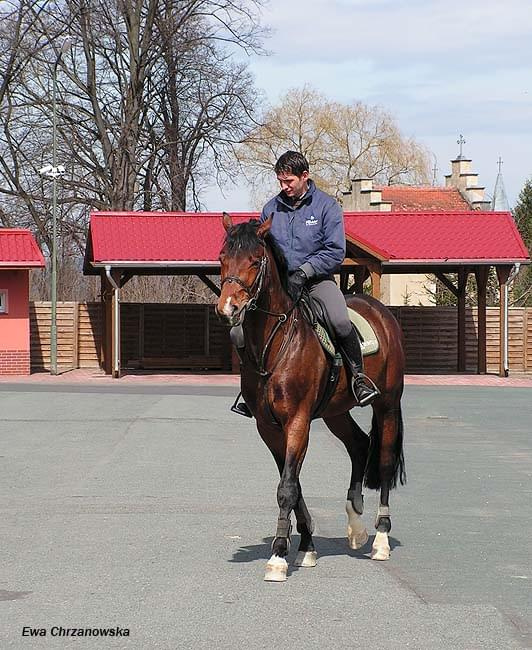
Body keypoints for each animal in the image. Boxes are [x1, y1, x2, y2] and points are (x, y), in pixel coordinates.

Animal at [215, 214, 404, 584]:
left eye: (255, 261)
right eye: (222, 259)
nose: (228, 308)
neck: (275, 342)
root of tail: (380, 310)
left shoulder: (298, 421)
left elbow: (287, 487)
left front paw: (278, 556)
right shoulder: (268, 428)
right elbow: (293, 483)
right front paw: (306, 546)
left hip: (387, 405)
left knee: (385, 463)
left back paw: (380, 539)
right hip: (335, 413)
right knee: (359, 445)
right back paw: (355, 525)